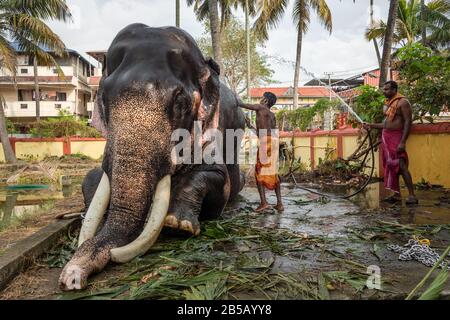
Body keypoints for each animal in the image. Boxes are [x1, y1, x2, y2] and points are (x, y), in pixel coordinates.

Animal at [59, 23, 246, 292]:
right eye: (103, 97)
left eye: (180, 101)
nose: (71, 279)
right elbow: (93, 176)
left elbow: (219, 179)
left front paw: (179, 225)